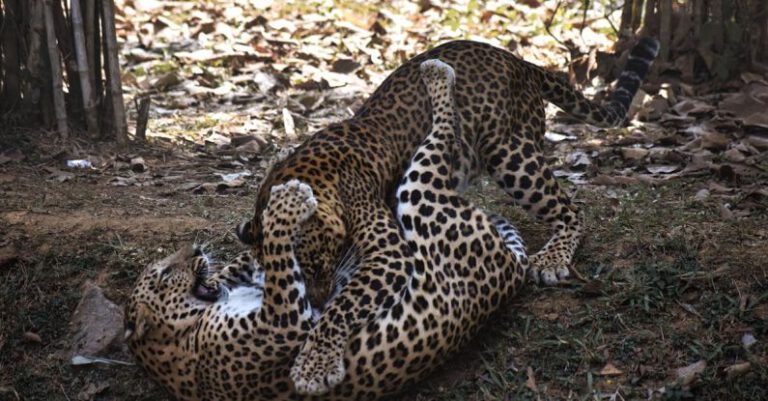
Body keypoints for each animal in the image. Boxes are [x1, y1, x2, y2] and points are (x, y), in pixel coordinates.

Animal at [236, 38, 660, 394]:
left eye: (314, 262)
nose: (315, 303)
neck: (312, 172)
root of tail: (517, 60)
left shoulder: (389, 253)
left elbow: (346, 305)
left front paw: (314, 363)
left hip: (511, 155)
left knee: (571, 211)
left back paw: (552, 259)